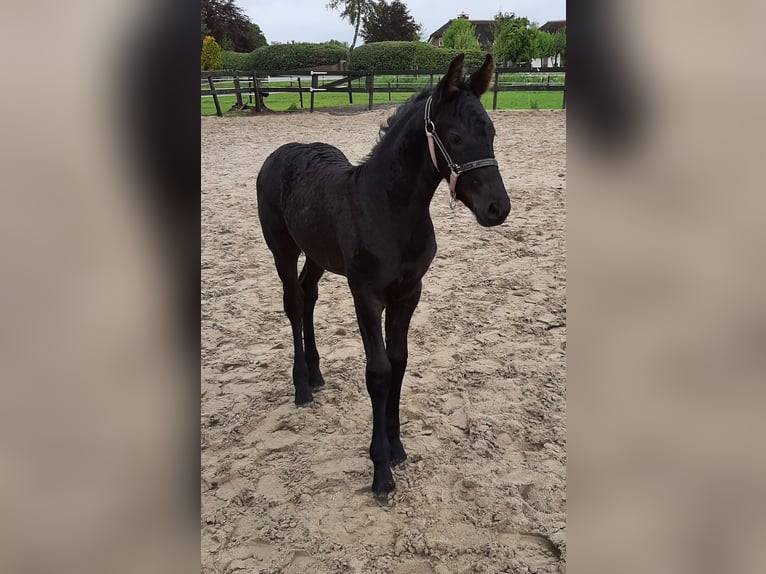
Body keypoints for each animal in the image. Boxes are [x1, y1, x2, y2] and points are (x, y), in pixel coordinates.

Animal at [256, 54, 511, 495]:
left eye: (491, 132)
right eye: (455, 136)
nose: (498, 208)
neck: (389, 209)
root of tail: (281, 152)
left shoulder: (408, 293)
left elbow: (400, 361)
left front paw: (397, 447)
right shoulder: (367, 295)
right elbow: (378, 372)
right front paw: (380, 471)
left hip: (318, 253)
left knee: (308, 295)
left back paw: (317, 373)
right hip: (282, 249)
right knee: (293, 301)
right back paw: (302, 385)